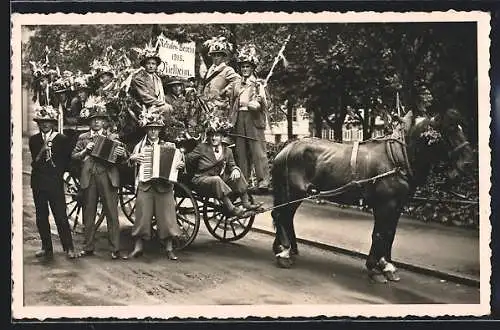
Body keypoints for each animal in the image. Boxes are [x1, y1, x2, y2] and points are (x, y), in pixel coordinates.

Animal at [270, 107, 472, 282]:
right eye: (450, 129)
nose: (468, 163)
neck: (397, 157)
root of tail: (285, 149)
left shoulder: (397, 205)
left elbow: (390, 233)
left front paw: (387, 265)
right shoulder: (385, 205)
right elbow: (380, 234)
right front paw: (375, 267)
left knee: (285, 217)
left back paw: (287, 248)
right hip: (292, 193)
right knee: (282, 216)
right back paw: (284, 253)